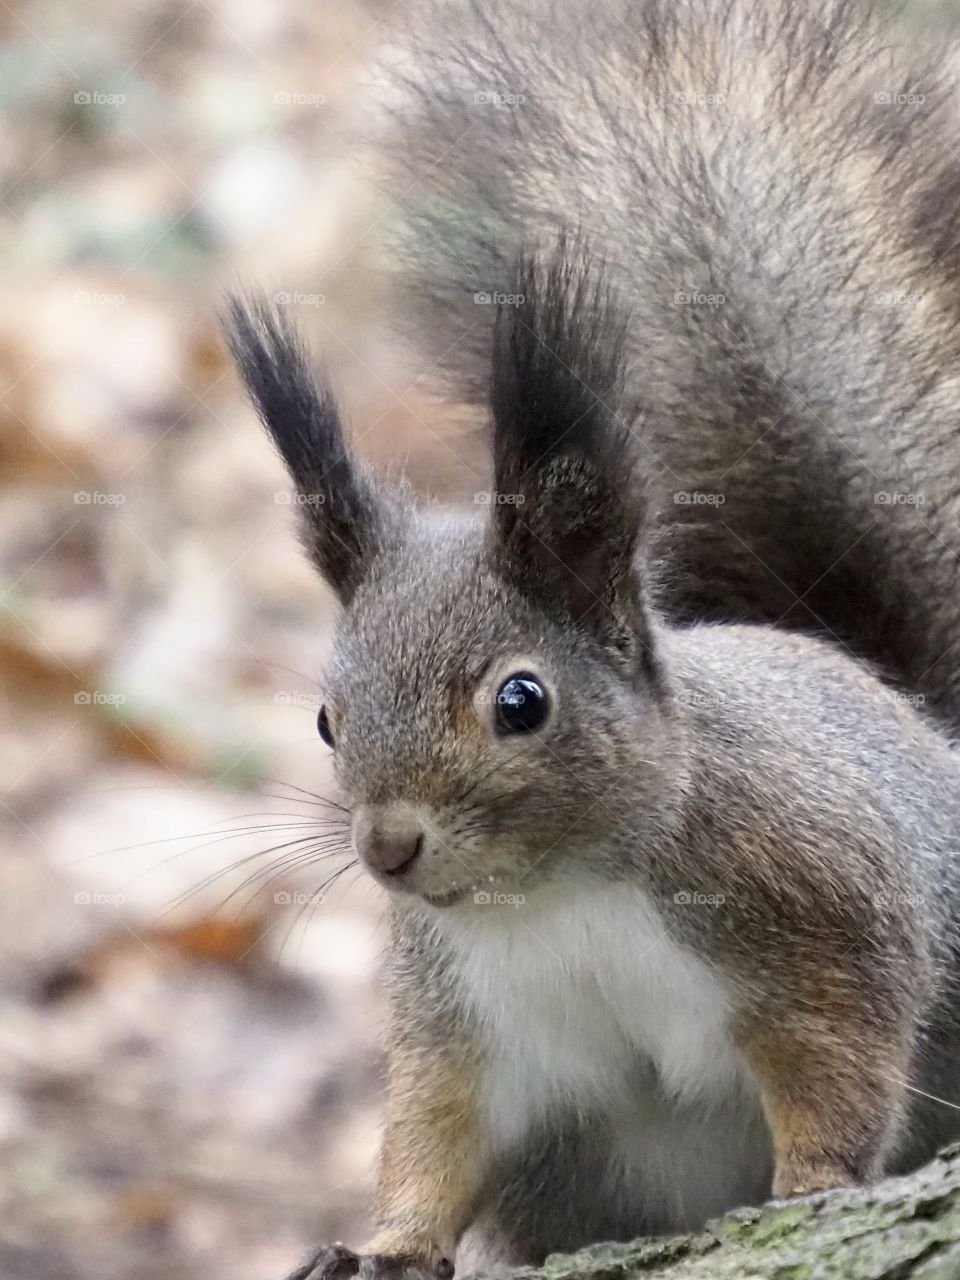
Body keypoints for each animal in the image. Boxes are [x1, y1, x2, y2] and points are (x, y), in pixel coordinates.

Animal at [221, 0, 960, 1275]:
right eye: (324, 715)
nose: (388, 848)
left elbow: (840, 1059)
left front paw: (815, 1184)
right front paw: (384, 1243)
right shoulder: (464, 1019)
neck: (556, 897)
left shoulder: (822, 914)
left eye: (521, 700)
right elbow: (434, 1129)